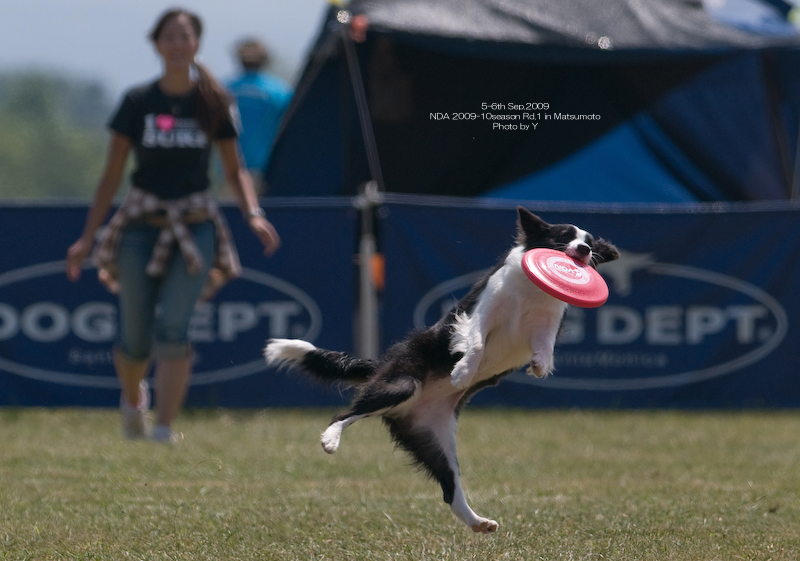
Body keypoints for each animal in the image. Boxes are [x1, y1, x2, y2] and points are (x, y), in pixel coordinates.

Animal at [262, 208, 620, 532]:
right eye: (563, 237)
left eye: (589, 243)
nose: (584, 250)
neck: (533, 291)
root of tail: (384, 366)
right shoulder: (482, 312)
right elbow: (476, 343)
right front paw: (462, 373)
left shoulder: (548, 322)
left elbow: (545, 344)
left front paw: (540, 366)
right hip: (400, 385)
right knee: (344, 414)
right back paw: (330, 439)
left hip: (436, 440)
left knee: (451, 488)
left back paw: (478, 522)